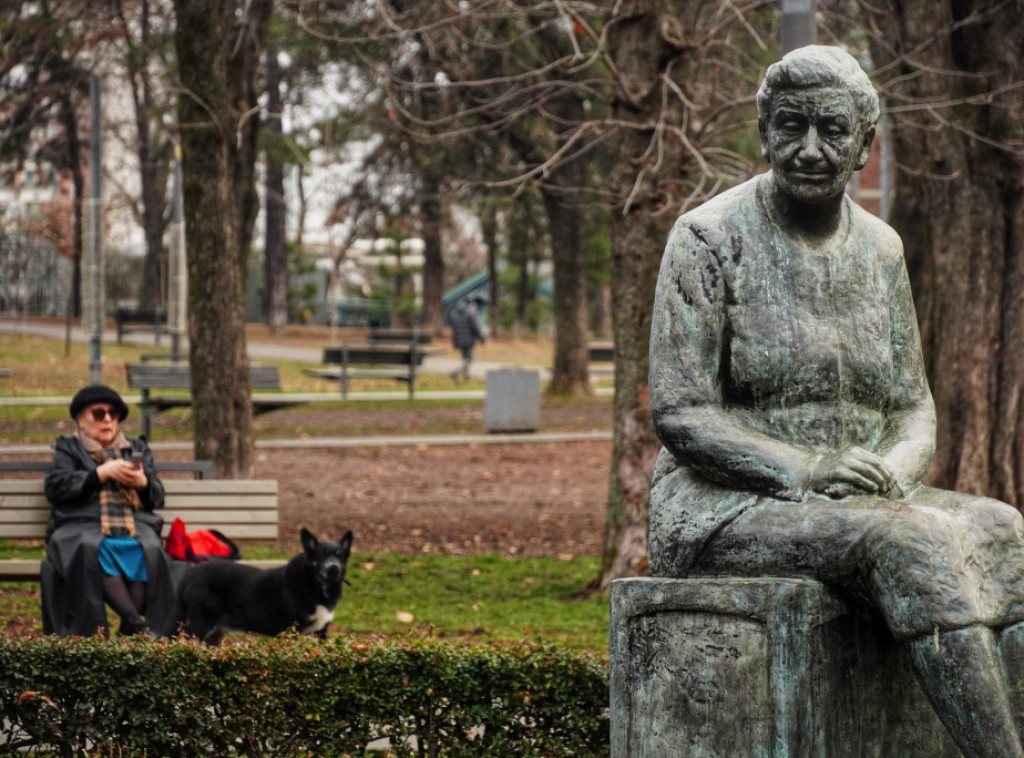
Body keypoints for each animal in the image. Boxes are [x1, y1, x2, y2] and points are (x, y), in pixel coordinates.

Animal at [173, 528, 356, 647]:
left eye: (339, 555)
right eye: (322, 556)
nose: (333, 569)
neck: (314, 583)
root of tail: (190, 573)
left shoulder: (321, 632)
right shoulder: (290, 631)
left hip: (214, 635)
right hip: (200, 625)